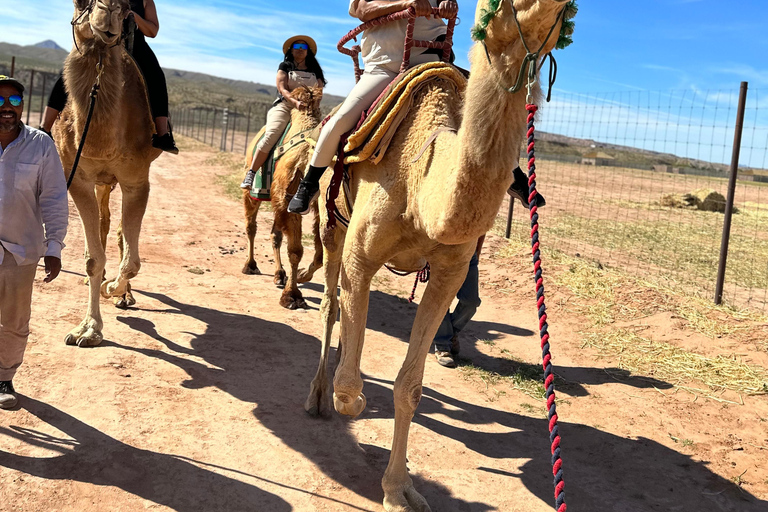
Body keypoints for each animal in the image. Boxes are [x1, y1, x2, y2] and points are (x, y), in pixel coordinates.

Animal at [53, 0, 161, 346]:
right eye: (78, 2)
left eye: (128, 7)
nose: (110, 13)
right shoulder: (77, 176)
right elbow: (91, 258)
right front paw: (88, 329)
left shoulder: (136, 180)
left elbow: (133, 258)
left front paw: (113, 288)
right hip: (100, 181)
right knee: (103, 223)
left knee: (119, 234)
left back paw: (121, 293)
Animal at [241, 86, 325, 309]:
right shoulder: (289, 200)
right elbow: (295, 250)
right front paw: (292, 296)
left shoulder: (316, 206)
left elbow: (319, 253)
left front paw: (302, 276)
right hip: (252, 193)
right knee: (251, 227)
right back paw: (250, 266)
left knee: (274, 235)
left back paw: (279, 274)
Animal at [304, 1, 572, 510]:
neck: (421, 181)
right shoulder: (360, 254)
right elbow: (354, 386)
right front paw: (348, 398)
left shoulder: (449, 273)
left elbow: (410, 388)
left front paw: (399, 489)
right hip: (332, 225)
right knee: (330, 303)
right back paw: (318, 396)